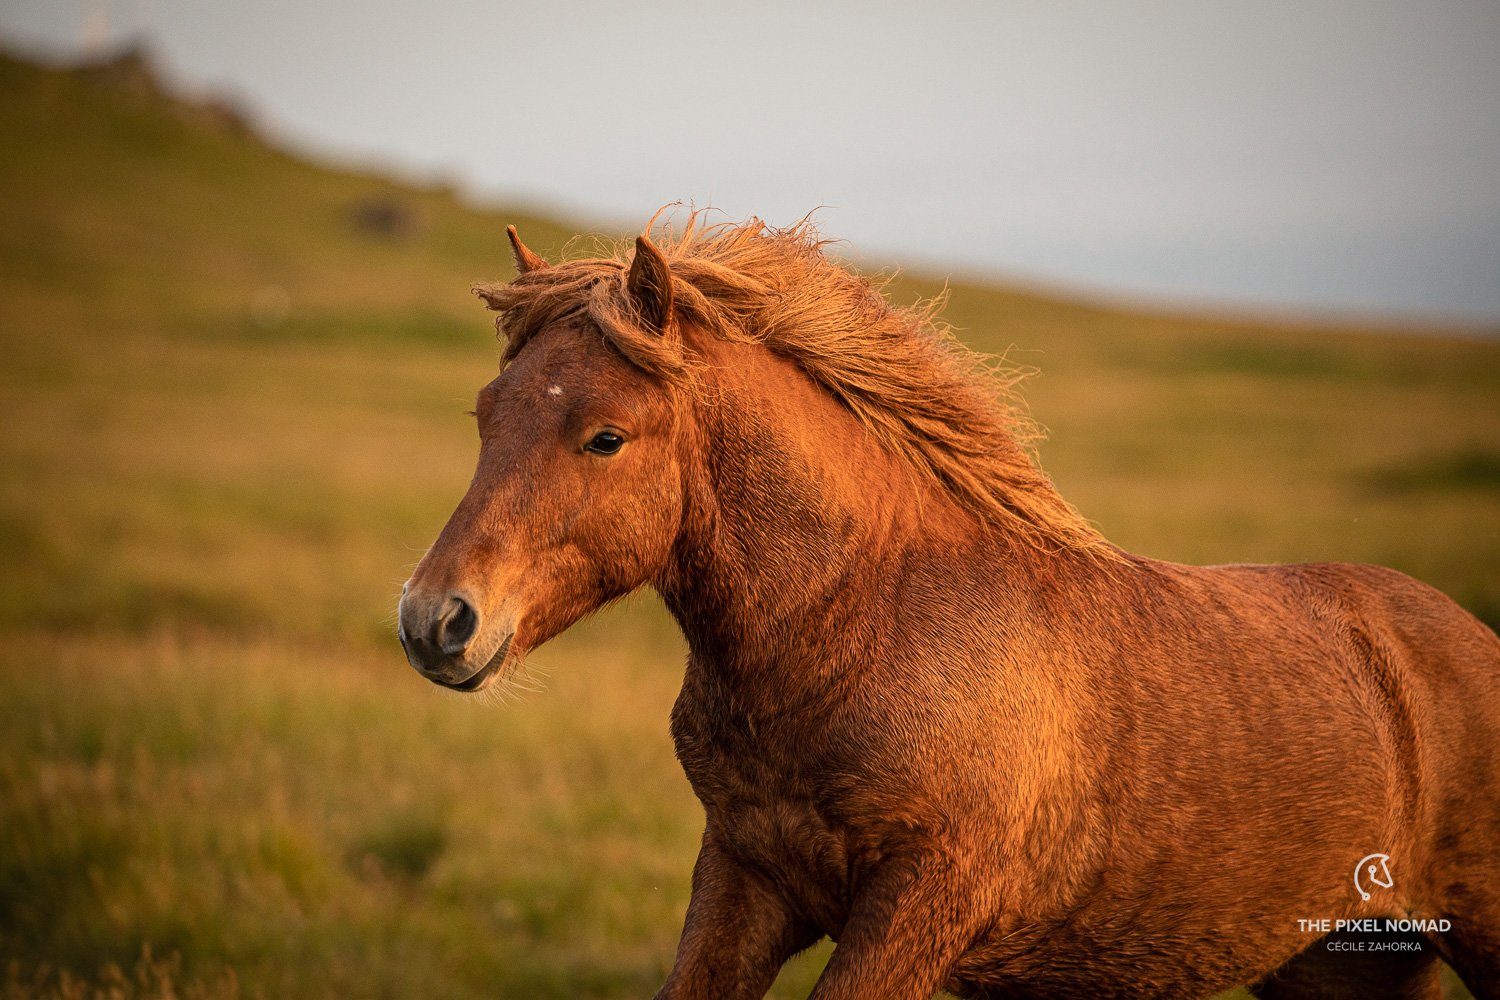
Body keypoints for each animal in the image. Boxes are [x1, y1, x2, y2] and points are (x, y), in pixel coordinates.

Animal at [399, 215, 1500, 995]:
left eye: (606, 436)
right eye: (487, 414)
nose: (434, 622)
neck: (862, 627)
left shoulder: (922, 905)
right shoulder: (744, 880)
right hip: (1343, 966)